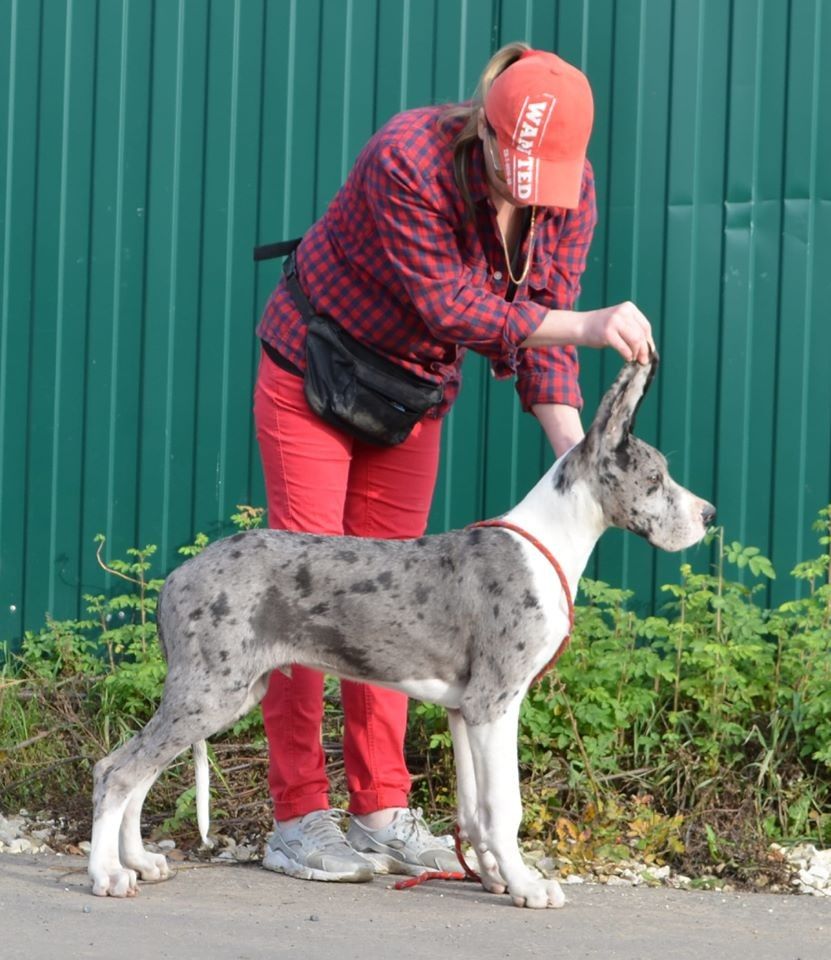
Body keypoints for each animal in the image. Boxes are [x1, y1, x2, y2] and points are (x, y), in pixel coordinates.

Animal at [88, 354, 715, 907]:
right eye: (655, 479)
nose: (709, 515)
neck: (547, 543)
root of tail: (175, 578)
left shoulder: (464, 711)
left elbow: (474, 811)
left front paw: (494, 878)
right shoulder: (495, 702)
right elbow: (504, 807)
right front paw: (527, 886)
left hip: (215, 695)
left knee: (139, 769)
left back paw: (138, 861)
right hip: (210, 693)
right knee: (117, 771)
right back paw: (107, 874)